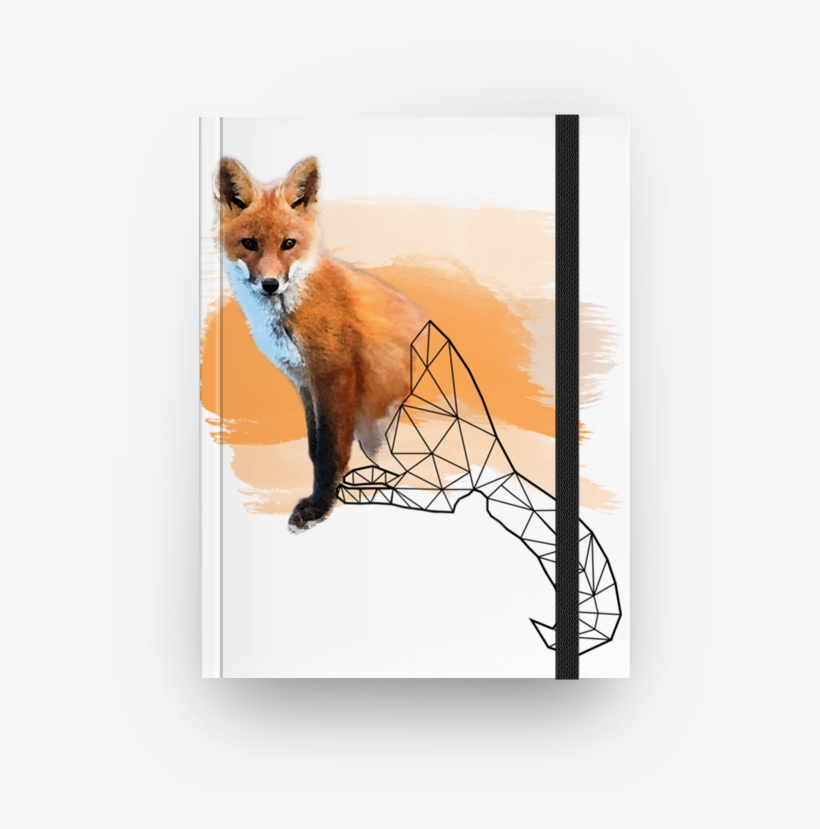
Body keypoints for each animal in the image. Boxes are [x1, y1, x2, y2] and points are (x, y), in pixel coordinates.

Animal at [215, 156, 428, 533]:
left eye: (288, 244)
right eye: (249, 243)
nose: (270, 284)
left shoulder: (335, 376)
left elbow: (330, 451)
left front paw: (319, 508)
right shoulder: (305, 382)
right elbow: (315, 448)